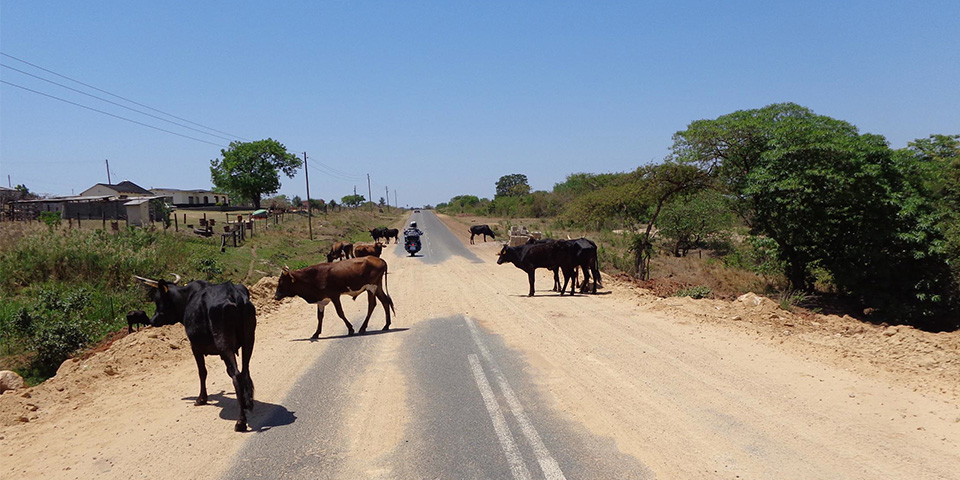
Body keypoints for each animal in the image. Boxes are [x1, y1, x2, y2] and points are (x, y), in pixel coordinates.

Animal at [133, 274, 258, 432]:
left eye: (158, 299)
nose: (152, 320)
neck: (187, 297)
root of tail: (233, 294)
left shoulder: (195, 347)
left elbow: (202, 372)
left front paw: (201, 398)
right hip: (249, 339)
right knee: (245, 371)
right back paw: (248, 403)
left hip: (224, 344)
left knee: (236, 376)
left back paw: (240, 421)